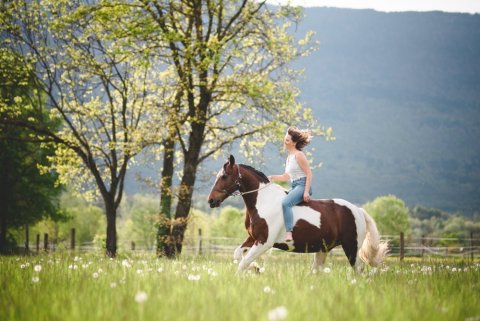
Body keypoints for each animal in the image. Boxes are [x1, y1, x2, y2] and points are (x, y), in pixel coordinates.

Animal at [208, 154, 388, 272]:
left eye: (224, 176)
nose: (211, 201)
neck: (263, 201)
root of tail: (358, 210)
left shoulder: (264, 242)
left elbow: (242, 264)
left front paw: (252, 271)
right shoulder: (253, 238)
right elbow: (238, 254)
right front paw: (256, 268)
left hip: (351, 247)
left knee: (359, 271)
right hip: (323, 250)